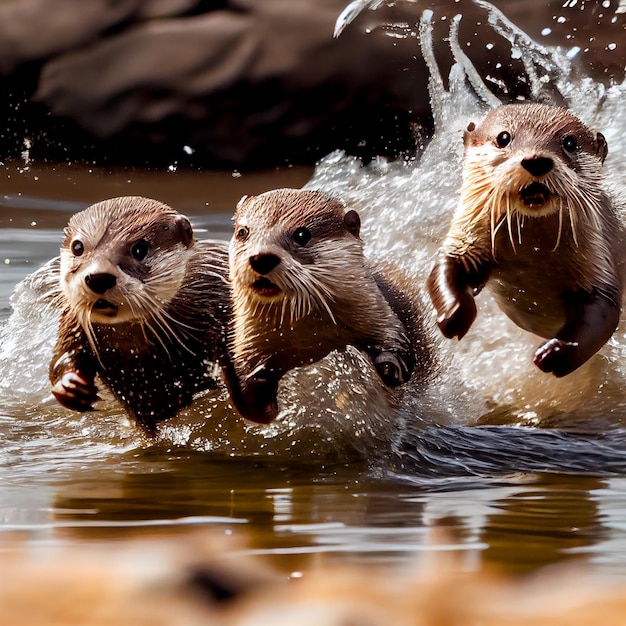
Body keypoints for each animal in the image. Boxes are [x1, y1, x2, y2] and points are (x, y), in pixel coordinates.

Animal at [227, 188, 432, 424]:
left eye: (302, 234)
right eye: (243, 231)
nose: (261, 257)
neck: (310, 340)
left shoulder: (379, 314)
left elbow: (396, 347)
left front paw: (391, 366)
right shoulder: (249, 342)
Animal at [424, 102, 620, 376]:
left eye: (570, 143)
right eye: (503, 138)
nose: (536, 160)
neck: (532, 255)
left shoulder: (597, 258)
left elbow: (604, 308)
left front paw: (556, 352)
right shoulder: (469, 237)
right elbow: (448, 265)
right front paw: (454, 313)